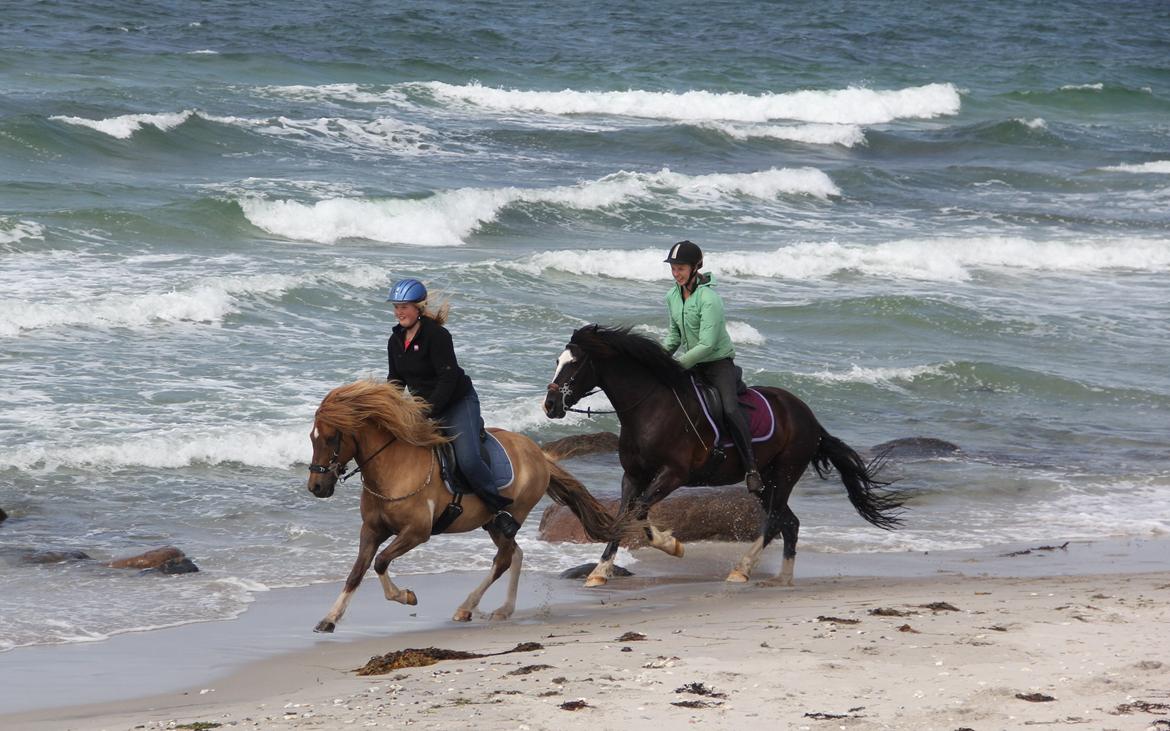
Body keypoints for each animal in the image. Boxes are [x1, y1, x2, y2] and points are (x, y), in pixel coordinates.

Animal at [306, 378, 617, 631]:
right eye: (311, 438)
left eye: (331, 438)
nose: (316, 487)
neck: (393, 469)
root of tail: (539, 454)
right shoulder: (371, 530)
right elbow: (357, 572)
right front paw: (329, 619)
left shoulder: (416, 532)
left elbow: (381, 562)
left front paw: (406, 596)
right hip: (492, 522)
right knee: (515, 554)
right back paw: (503, 609)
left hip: (512, 514)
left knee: (503, 560)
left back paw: (465, 607)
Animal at [540, 325, 903, 587]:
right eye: (557, 362)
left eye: (574, 364)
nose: (550, 405)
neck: (650, 408)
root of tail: (808, 416)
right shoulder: (632, 476)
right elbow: (624, 518)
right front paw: (599, 572)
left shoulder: (673, 474)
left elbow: (640, 513)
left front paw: (672, 545)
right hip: (768, 480)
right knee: (790, 522)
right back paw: (782, 578)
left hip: (784, 472)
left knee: (775, 521)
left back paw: (741, 569)